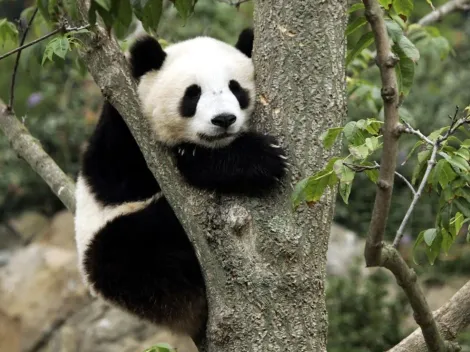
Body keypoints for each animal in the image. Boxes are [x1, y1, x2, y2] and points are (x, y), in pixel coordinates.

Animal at [74, 28, 286, 350]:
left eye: (236, 88)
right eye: (193, 93)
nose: (224, 120)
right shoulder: (122, 132)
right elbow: (122, 178)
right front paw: (259, 159)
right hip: (113, 251)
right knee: (130, 249)